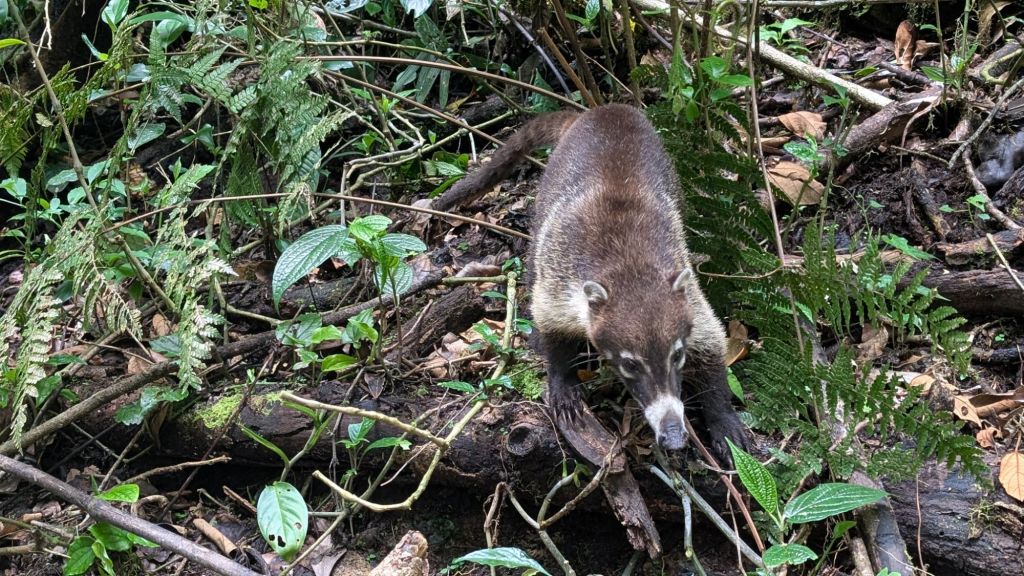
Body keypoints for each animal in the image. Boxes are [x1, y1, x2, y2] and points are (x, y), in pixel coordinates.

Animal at [433, 104, 748, 462]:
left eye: (677, 355)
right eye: (630, 364)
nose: (673, 436)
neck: (630, 269)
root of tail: (601, 110)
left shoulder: (684, 281)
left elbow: (711, 339)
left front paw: (721, 414)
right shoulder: (562, 271)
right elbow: (551, 320)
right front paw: (562, 379)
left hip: (670, 173)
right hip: (548, 190)